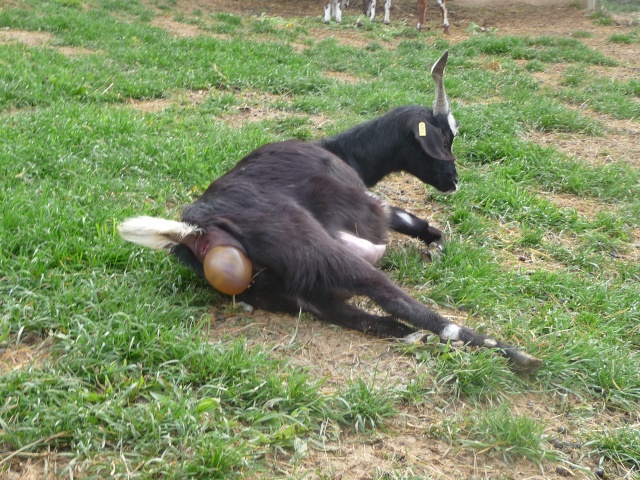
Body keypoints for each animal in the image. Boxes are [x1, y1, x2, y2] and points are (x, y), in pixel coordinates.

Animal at [119, 51, 540, 372]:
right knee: (398, 302)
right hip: (320, 250)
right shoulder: (372, 208)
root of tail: (197, 231)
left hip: (294, 293)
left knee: (368, 319)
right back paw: (514, 353)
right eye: (444, 136)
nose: (454, 181)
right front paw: (435, 248)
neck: (341, 152)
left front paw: (434, 250)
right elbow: (415, 221)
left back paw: (419, 338)